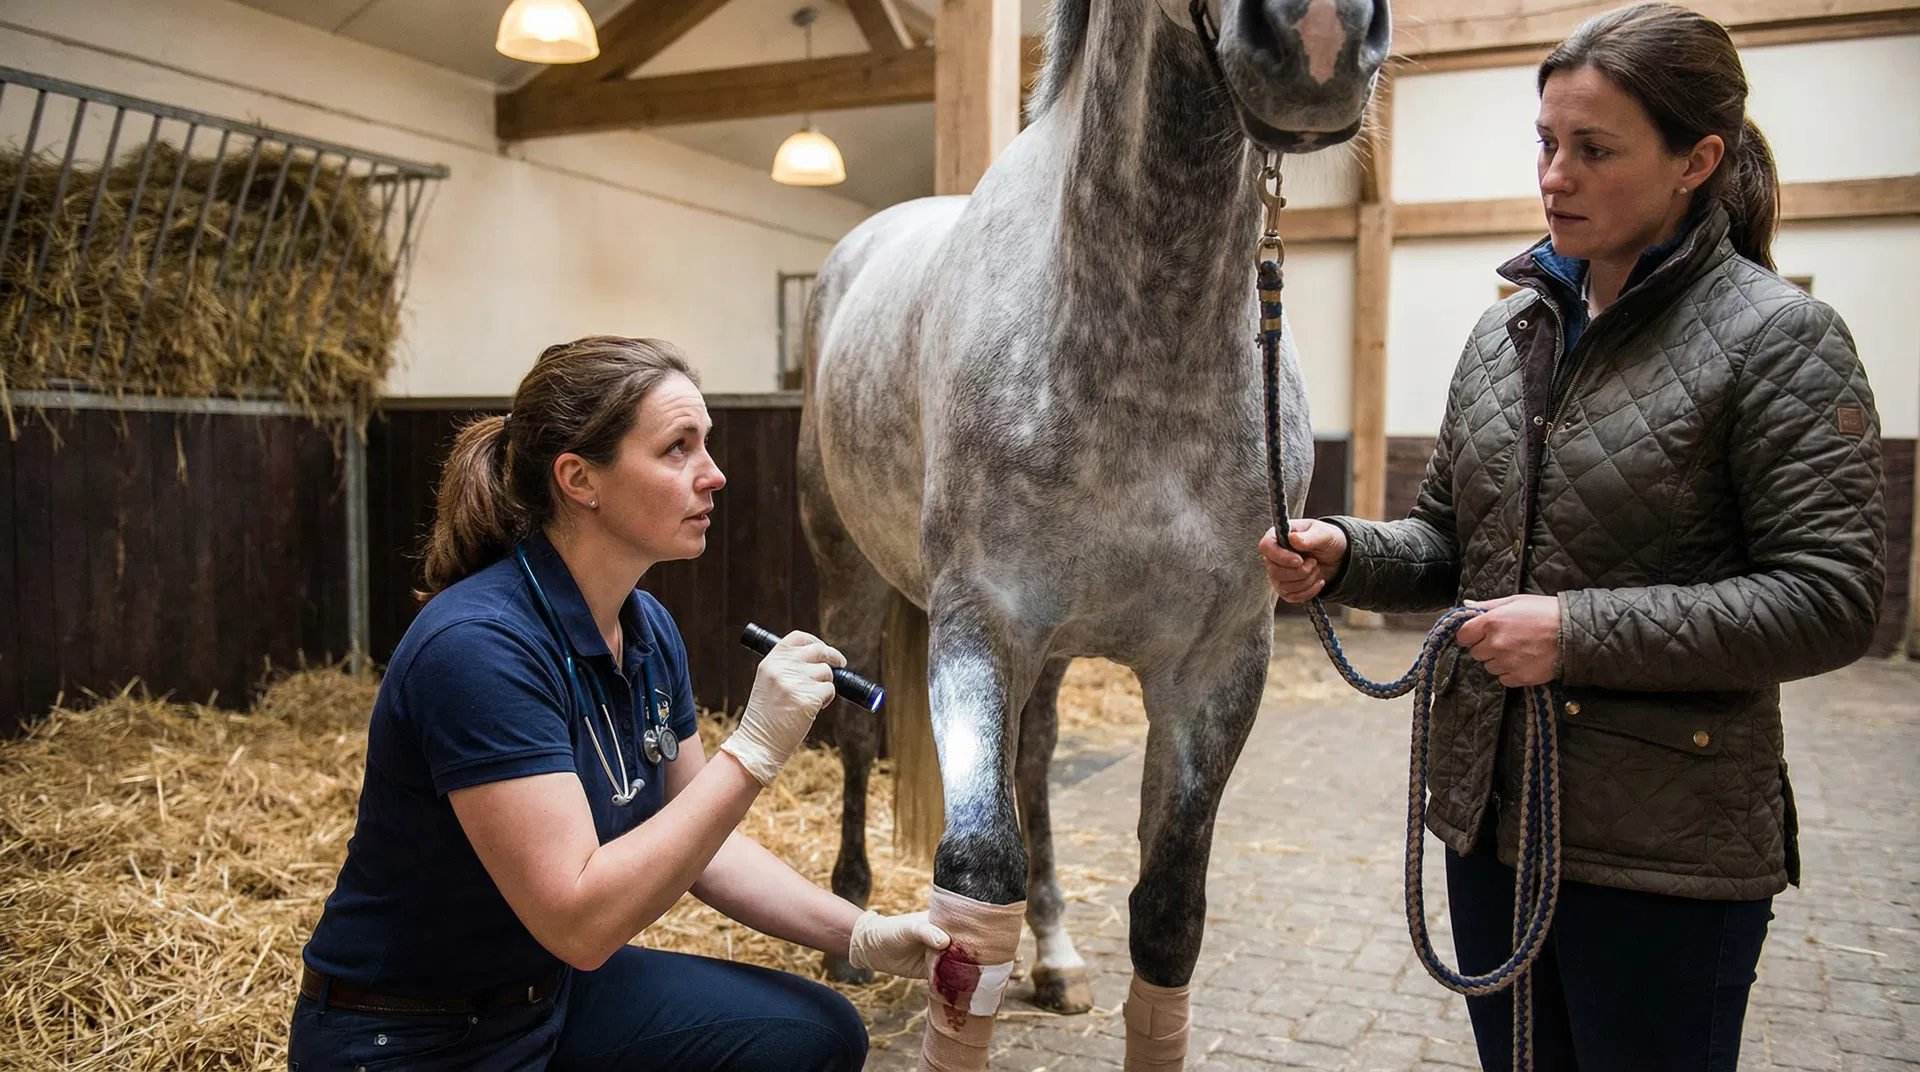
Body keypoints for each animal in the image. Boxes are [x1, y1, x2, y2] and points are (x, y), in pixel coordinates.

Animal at [798, 0, 1387, 1060]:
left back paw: (1056, 954)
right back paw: (850, 922)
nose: (1319, 38)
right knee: (859, 737)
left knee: (1034, 765)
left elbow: (1169, 905)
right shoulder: (981, 627)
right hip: (853, 581)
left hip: (1055, 652)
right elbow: (976, 873)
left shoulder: (1217, 663)